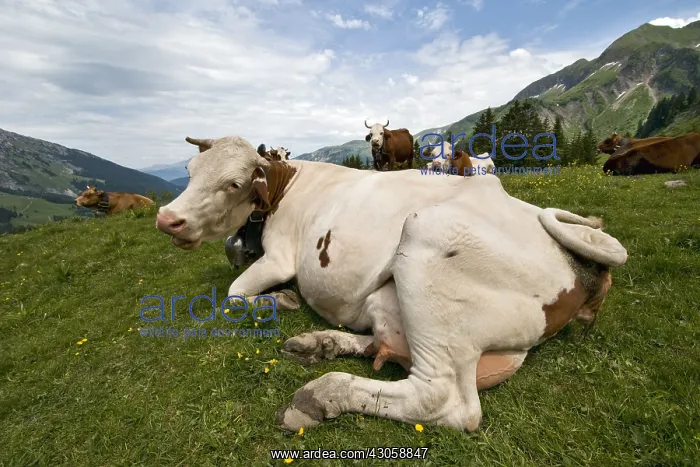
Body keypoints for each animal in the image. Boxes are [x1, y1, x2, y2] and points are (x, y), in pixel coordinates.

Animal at [156, 135, 628, 433]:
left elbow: (234, 295)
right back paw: (318, 344)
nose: (167, 219)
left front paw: (282, 300)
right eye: (190, 170)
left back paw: (321, 395)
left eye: (233, 183)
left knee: (442, 398)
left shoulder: (279, 256)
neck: (285, 186)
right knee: (383, 341)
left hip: (428, 236)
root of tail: (583, 267)